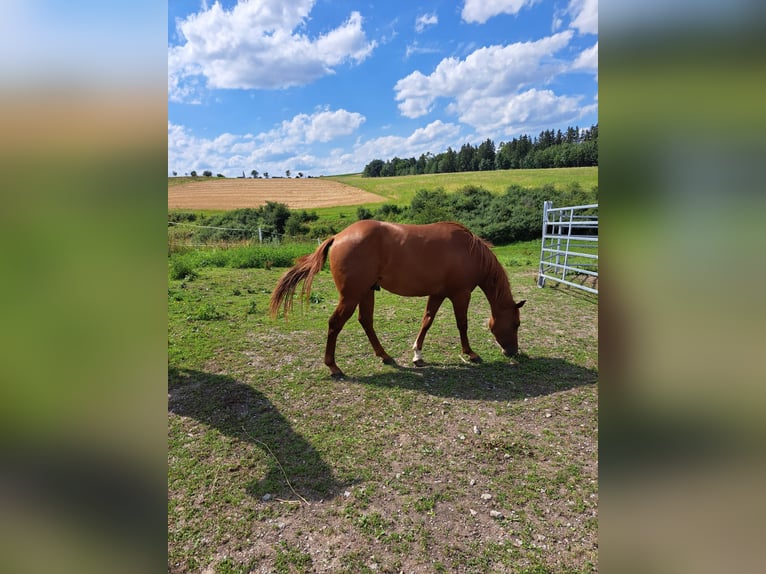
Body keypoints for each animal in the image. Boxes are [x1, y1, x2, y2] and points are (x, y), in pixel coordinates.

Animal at [270, 219, 528, 378]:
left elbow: (427, 321)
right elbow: (462, 324)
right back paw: (333, 367)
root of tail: (338, 236)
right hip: (351, 296)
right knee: (335, 324)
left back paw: (384, 356)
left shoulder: (438, 294)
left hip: (366, 292)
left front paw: (417, 355)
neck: (469, 251)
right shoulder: (460, 294)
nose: (513, 352)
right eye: (516, 323)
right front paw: (470, 353)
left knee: (366, 321)